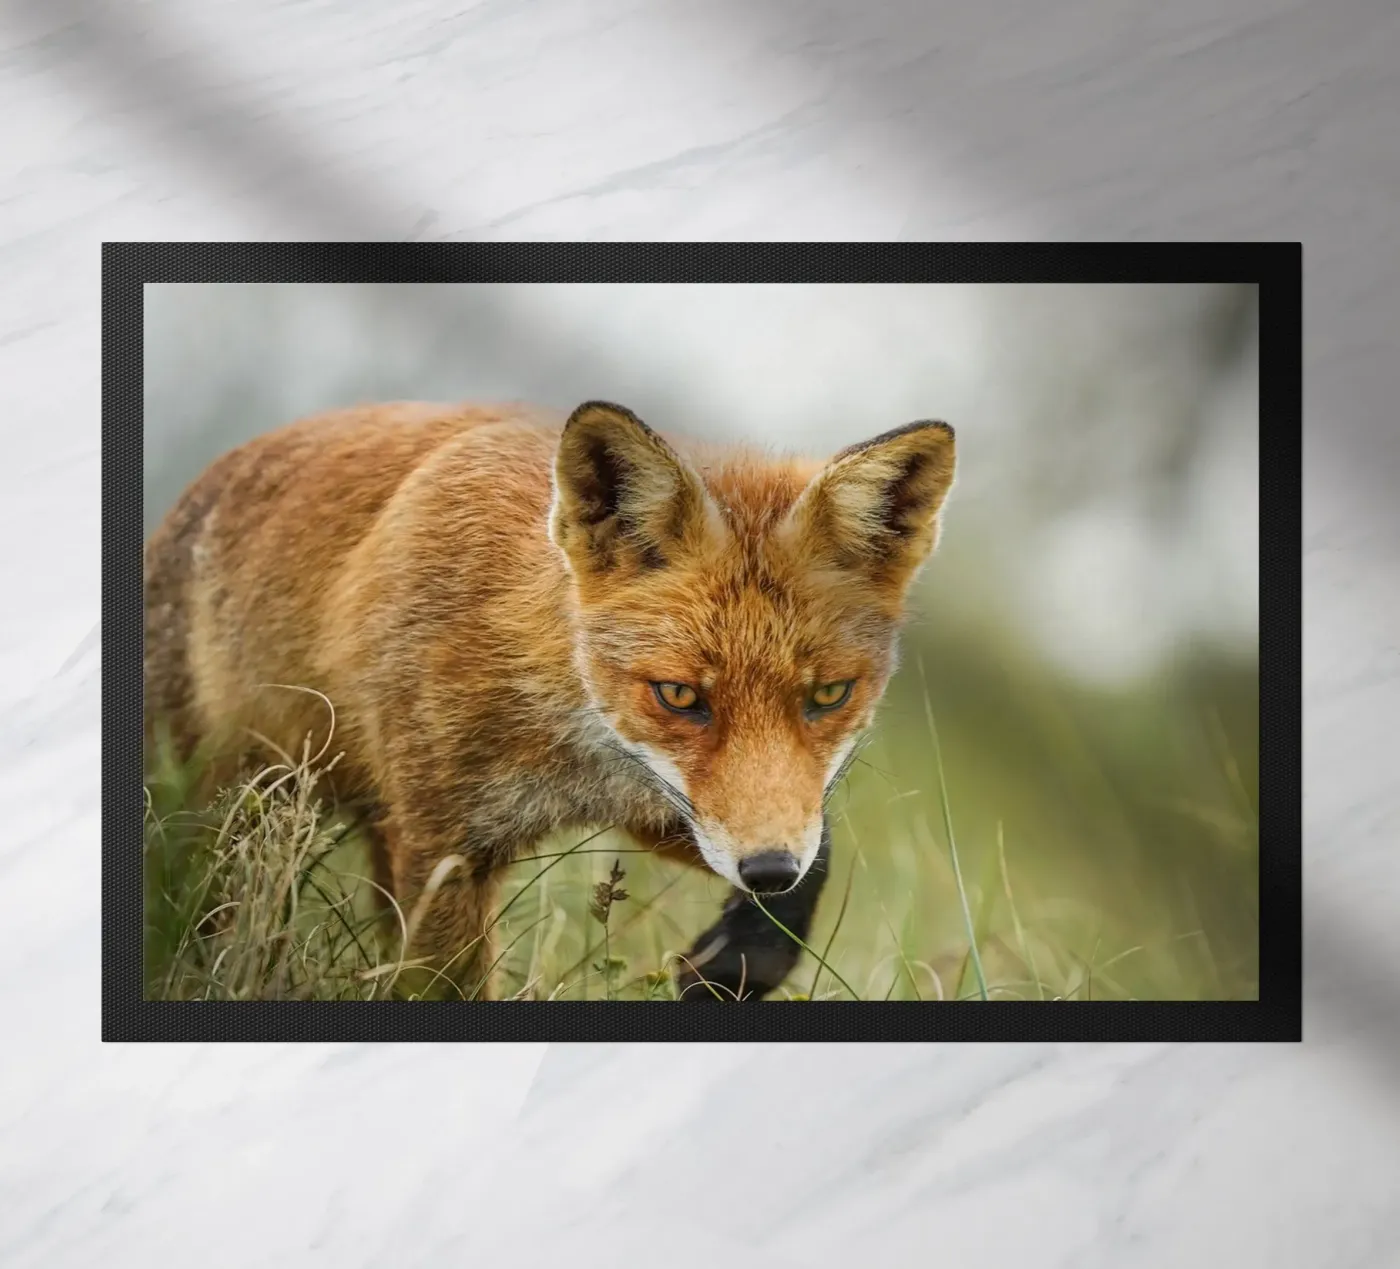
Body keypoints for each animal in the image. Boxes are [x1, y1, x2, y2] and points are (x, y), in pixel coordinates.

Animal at [143, 399, 956, 1000]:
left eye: (829, 694)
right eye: (679, 695)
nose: (766, 870)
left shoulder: (666, 806)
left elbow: (816, 863)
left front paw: (734, 961)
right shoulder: (442, 848)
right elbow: (446, 988)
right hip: (229, 814)